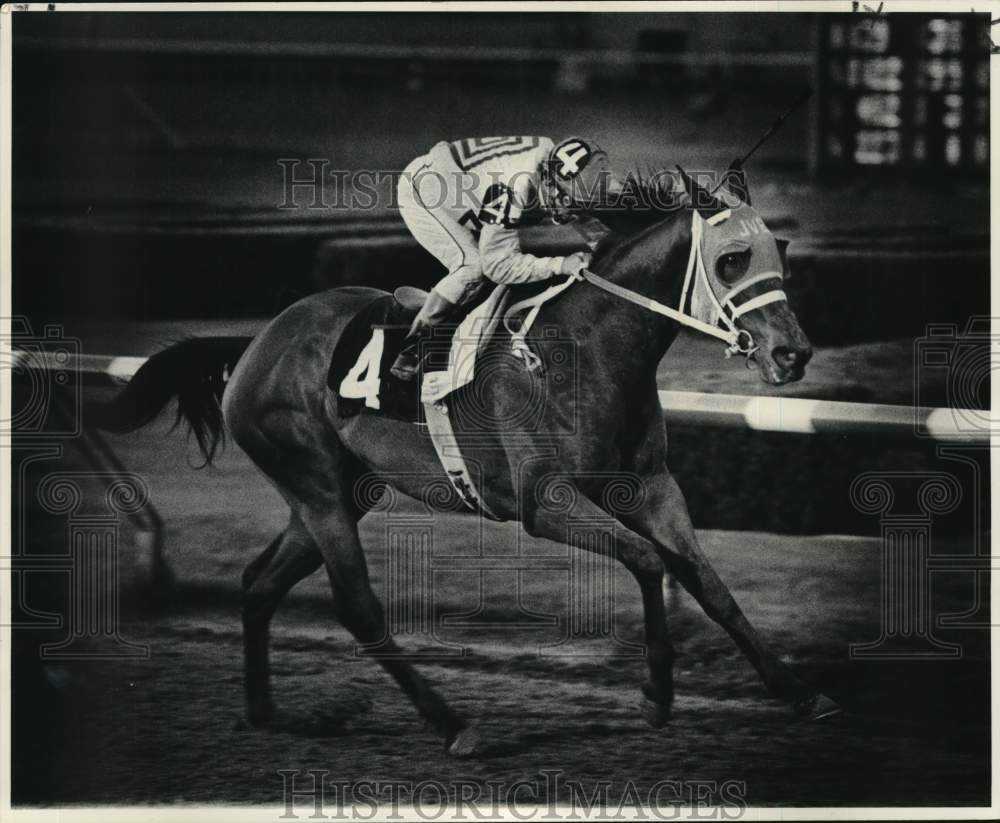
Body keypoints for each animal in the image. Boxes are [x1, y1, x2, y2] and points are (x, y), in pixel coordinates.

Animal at [99, 171, 836, 756]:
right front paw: (656, 692)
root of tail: (257, 341)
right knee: (358, 606)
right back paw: (453, 724)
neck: (588, 346)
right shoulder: (545, 501)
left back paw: (263, 710)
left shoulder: (652, 488)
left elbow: (706, 582)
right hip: (316, 485)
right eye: (733, 258)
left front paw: (795, 688)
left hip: (339, 489)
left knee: (259, 583)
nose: (793, 353)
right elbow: (649, 561)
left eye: (782, 253)